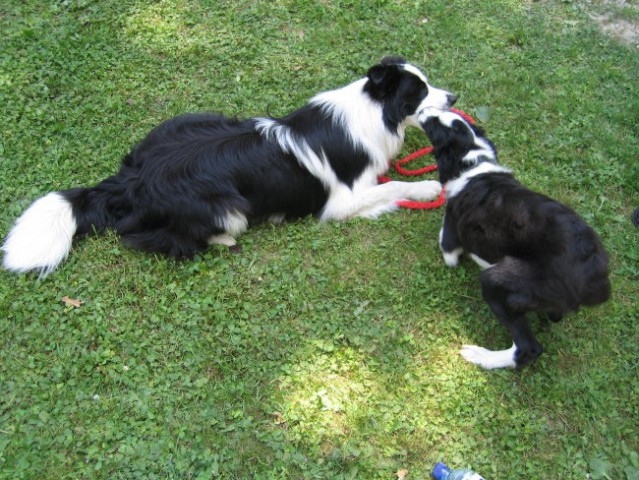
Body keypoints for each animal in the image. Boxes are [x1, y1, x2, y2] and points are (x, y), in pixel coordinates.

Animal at [2, 56, 458, 276]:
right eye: (419, 92)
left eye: (429, 84)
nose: (453, 96)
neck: (373, 109)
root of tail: (131, 179)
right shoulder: (337, 203)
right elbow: (390, 187)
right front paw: (427, 189)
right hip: (228, 206)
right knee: (160, 239)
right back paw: (222, 239)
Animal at [420, 109, 608, 370]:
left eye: (436, 125)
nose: (423, 110)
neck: (473, 158)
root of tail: (594, 282)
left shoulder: (451, 229)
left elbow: (447, 248)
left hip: (498, 281)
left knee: (529, 348)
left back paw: (482, 357)